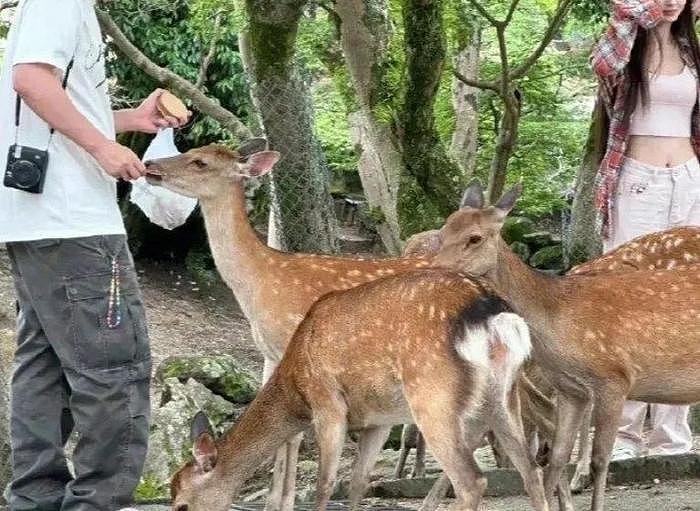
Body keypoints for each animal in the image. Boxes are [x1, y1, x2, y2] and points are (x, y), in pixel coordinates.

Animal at [170, 272, 548, 511]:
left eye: (182, 505)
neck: (296, 387)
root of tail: (496, 317)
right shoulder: (379, 419)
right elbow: (357, 481)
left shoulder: (327, 404)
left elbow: (325, 483)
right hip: (504, 398)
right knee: (531, 472)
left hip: (432, 396)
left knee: (472, 482)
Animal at [432, 184, 700, 511]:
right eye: (442, 232)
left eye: (475, 237)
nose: (434, 271)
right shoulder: (572, 390)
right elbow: (557, 459)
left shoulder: (615, 378)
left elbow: (600, 460)